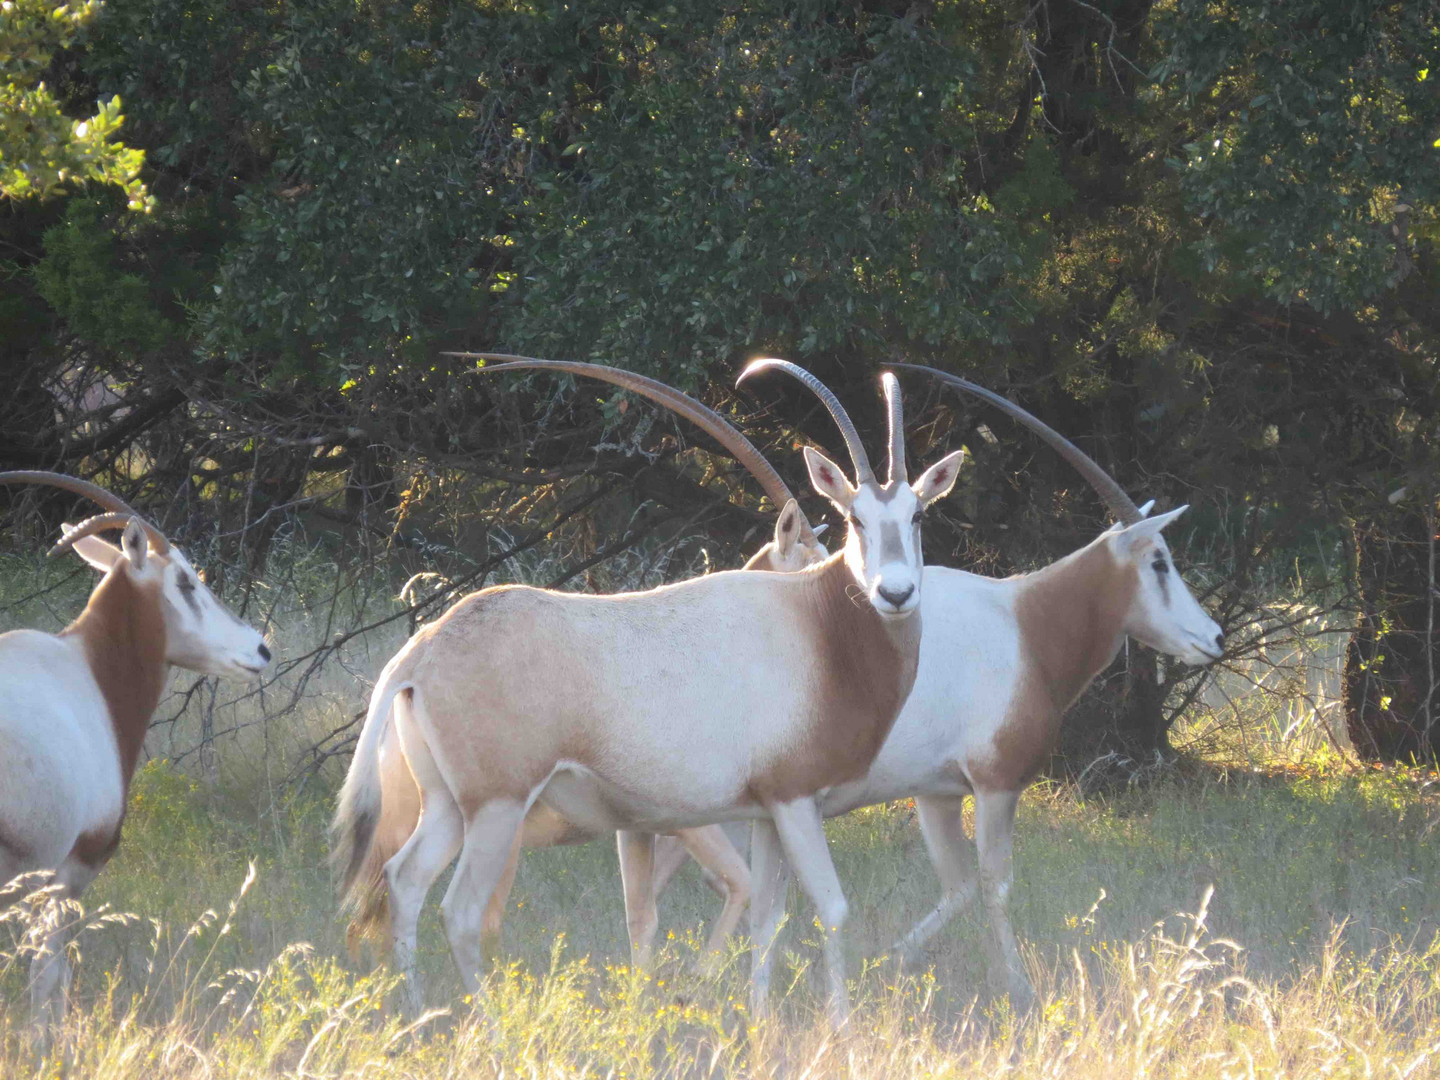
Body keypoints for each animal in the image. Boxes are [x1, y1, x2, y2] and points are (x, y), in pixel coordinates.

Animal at [329, 361, 961, 1025]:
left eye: (917, 516)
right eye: (854, 518)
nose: (895, 594)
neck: (818, 625)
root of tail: (423, 648)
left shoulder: (767, 811)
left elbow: (766, 917)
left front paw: (759, 1024)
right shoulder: (794, 801)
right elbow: (830, 909)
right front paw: (837, 1028)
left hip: (452, 806)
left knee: (404, 881)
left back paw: (418, 1015)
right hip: (499, 807)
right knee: (460, 911)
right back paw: (490, 1029)